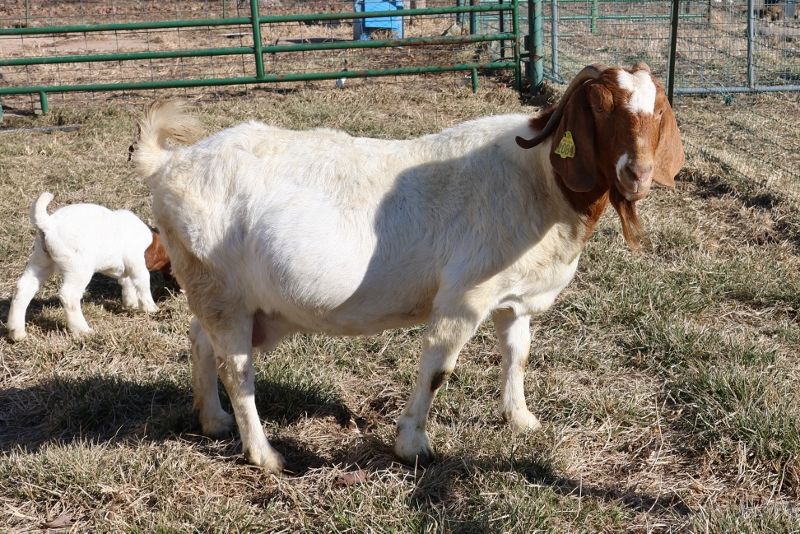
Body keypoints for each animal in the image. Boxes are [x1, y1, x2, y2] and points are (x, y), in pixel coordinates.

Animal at [134, 63, 684, 474]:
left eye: (657, 111)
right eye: (599, 108)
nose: (637, 173)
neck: (540, 180)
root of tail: (166, 166)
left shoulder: (513, 299)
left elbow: (517, 355)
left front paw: (521, 419)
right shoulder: (464, 298)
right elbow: (438, 368)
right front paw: (412, 446)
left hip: (233, 296)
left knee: (201, 340)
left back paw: (213, 421)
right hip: (220, 287)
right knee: (236, 368)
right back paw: (264, 455)